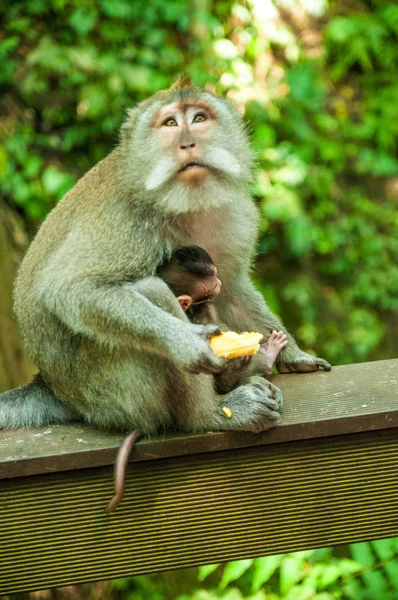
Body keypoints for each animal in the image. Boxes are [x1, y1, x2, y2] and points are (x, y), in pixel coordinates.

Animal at [0, 76, 330, 436]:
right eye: (170, 124)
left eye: (199, 119)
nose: (188, 144)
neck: (185, 201)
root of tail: (52, 386)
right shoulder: (125, 219)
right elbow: (70, 290)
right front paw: (188, 342)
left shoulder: (235, 212)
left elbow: (231, 289)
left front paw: (292, 354)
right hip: (110, 394)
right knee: (150, 291)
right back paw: (211, 413)